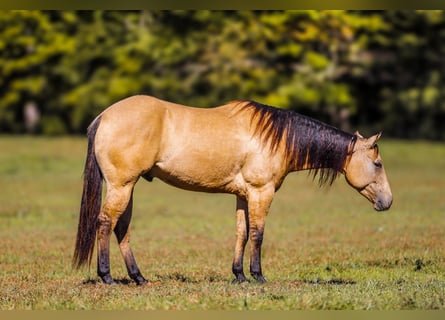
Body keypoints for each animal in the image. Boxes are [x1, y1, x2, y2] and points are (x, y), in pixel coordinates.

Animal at [73, 95, 392, 284]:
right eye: (377, 163)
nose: (387, 202)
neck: (274, 138)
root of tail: (104, 116)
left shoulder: (243, 195)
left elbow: (242, 233)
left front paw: (239, 275)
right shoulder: (261, 192)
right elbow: (258, 234)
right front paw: (258, 276)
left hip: (127, 187)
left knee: (121, 227)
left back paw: (138, 277)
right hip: (122, 186)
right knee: (105, 223)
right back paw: (107, 276)